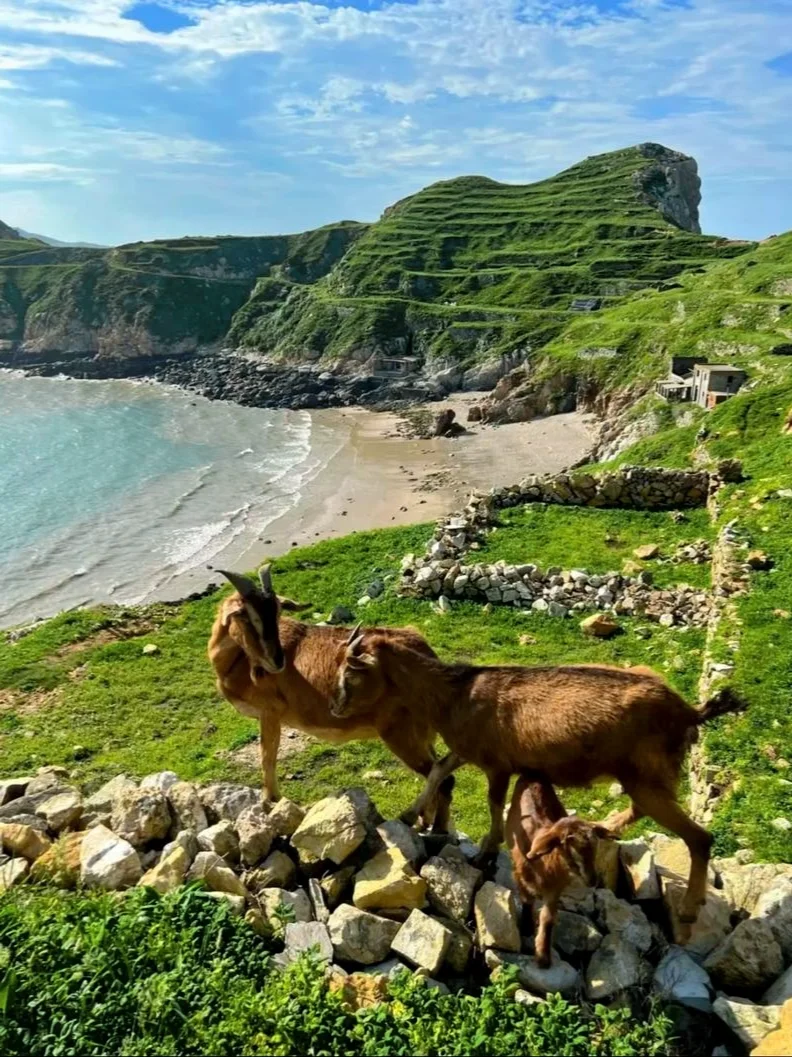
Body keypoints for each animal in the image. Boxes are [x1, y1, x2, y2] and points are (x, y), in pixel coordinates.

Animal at [207, 570, 454, 824]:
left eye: (277, 612)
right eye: (245, 616)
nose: (276, 662)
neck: (238, 661)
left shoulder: (270, 712)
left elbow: (267, 758)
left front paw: (271, 802)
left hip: (401, 735)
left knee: (443, 780)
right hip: (423, 735)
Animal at [329, 634, 744, 925]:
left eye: (350, 671)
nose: (335, 707)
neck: (454, 694)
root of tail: (688, 712)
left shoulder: (496, 764)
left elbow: (494, 802)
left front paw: (485, 851)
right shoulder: (467, 750)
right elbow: (438, 770)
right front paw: (408, 814)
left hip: (646, 775)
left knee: (699, 838)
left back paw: (689, 908)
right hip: (644, 776)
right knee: (642, 809)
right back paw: (606, 827)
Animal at [507, 777, 613, 968]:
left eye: (596, 849)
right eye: (567, 846)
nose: (593, 880)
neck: (545, 865)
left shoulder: (554, 890)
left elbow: (548, 919)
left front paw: (543, 956)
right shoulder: (520, 877)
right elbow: (527, 901)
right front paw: (526, 928)